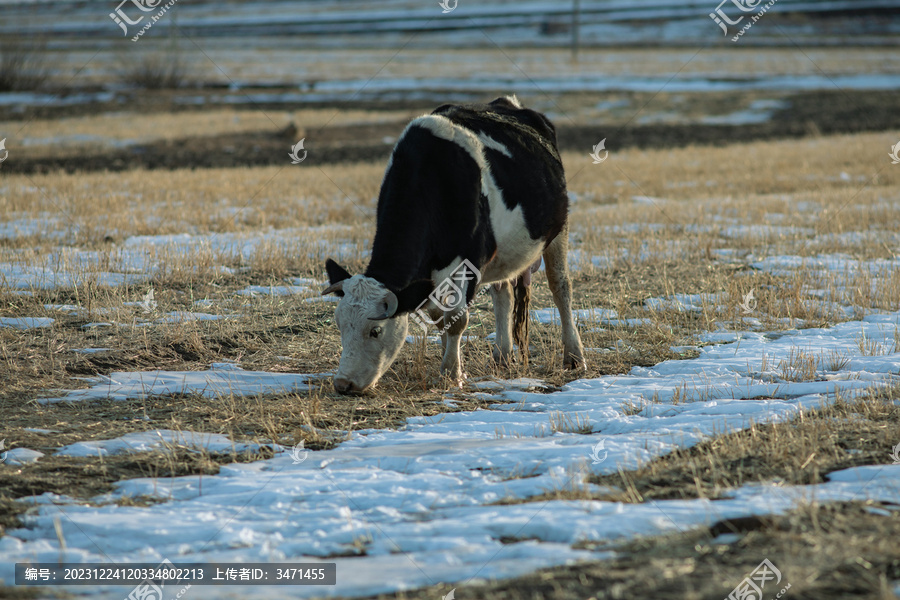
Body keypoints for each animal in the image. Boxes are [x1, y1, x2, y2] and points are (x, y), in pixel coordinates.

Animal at [322, 95, 584, 394]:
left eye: (375, 331)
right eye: (340, 325)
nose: (343, 384)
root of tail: (508, 103)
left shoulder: (468, 262)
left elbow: (456, 319)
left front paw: (451, 373)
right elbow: (440, 317)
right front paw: (450, 361)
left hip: (558, 229)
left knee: (560, 287)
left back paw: (574, 356)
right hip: (504, 253)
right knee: (503, 293)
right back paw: (502, 356)